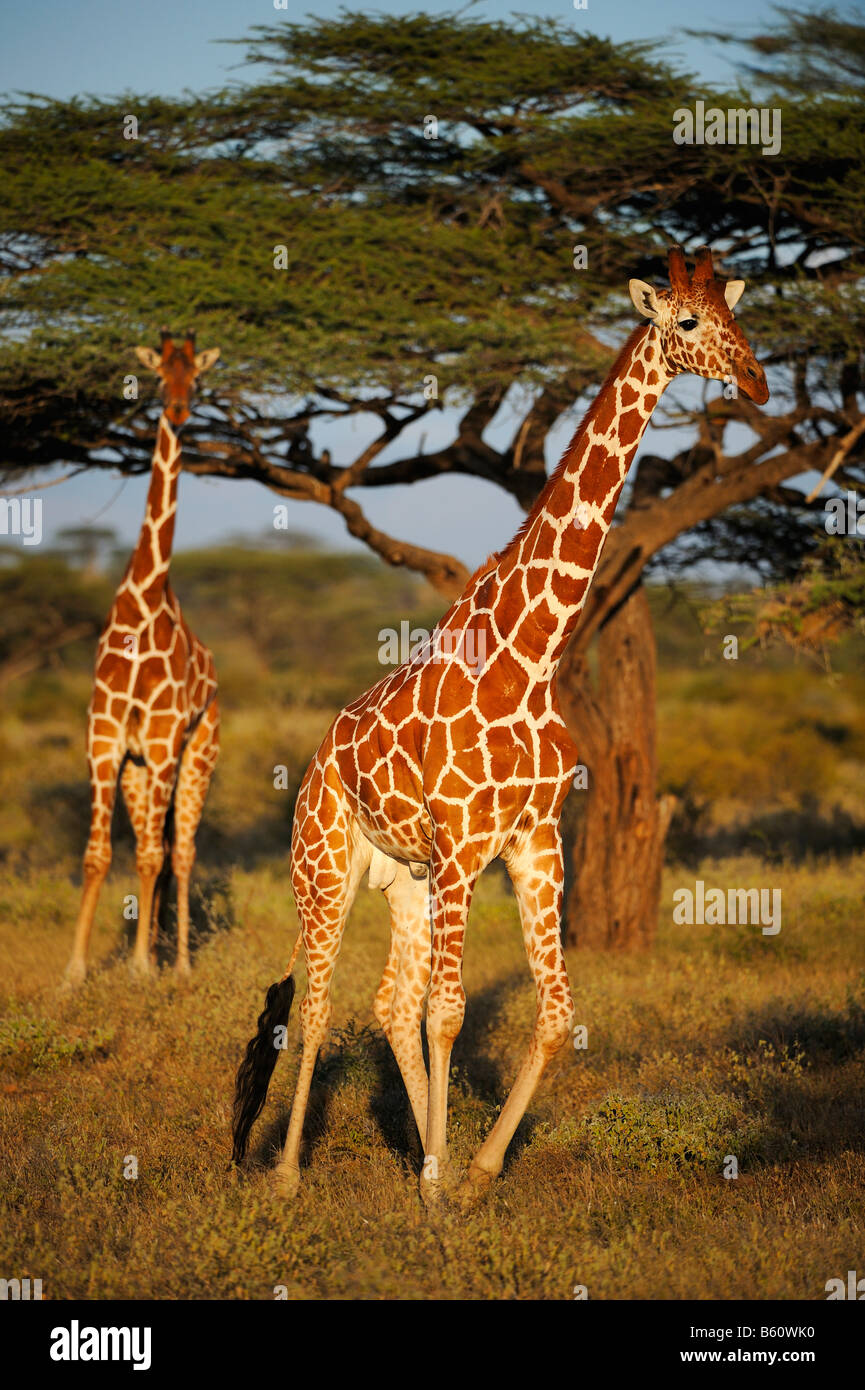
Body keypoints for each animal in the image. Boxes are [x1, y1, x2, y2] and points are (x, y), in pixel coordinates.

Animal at [232, 244, 773, 1200]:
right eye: (686, 322)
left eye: (736, 316)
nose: (755, 379)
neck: (531, 653)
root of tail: (315, 763)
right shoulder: (462, 842)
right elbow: (450, 1015)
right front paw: (435, 1188)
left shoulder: (532, 840)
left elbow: (553, 1014)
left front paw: (470, 1172)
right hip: (324, 868)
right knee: (320, 1004)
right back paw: (292, 1174)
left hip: (406, 882)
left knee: (387, 1002)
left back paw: (427, 1152)